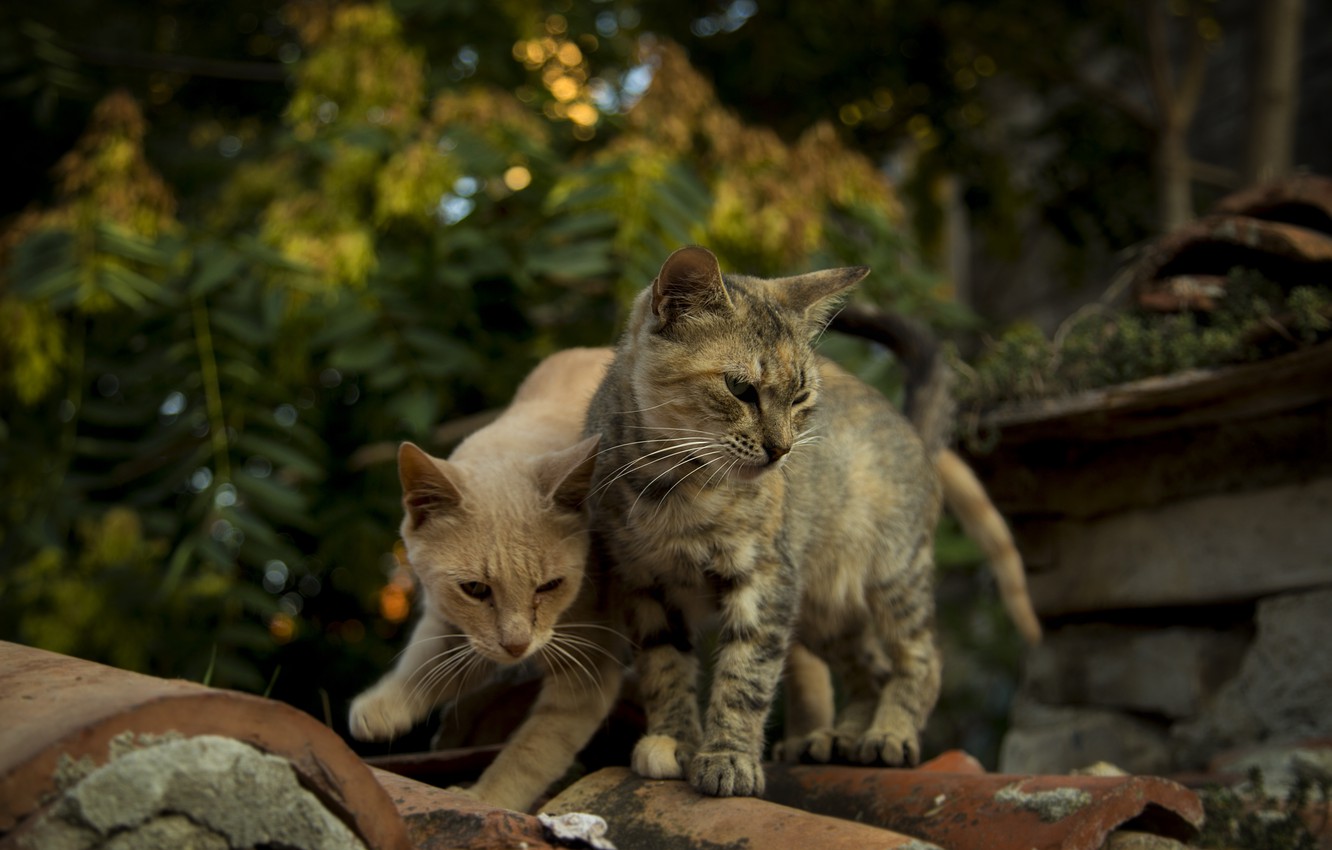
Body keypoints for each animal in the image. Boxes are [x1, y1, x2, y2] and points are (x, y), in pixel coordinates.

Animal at [351, 346, 626, 810]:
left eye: (549, 587)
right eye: (475, 589)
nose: (517, 646)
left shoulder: (586, 671)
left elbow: (529, 754)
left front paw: (483, 798)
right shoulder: (453, 626)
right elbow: (425, 665)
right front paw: (382, 707)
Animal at [586, 246, 948, 799]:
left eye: (800, 398)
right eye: (740, 388)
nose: (782, 449)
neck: (675, 494)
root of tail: (910, 430)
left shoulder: (768, 577)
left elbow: (746, 675)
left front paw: (728, 758)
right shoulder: (644, 584)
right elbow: (664, 667)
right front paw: (675, 739)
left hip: (894, 575)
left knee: (920, 657)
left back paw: (889, 734)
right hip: (824, 611)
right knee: (869, 666)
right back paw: (838, 737)